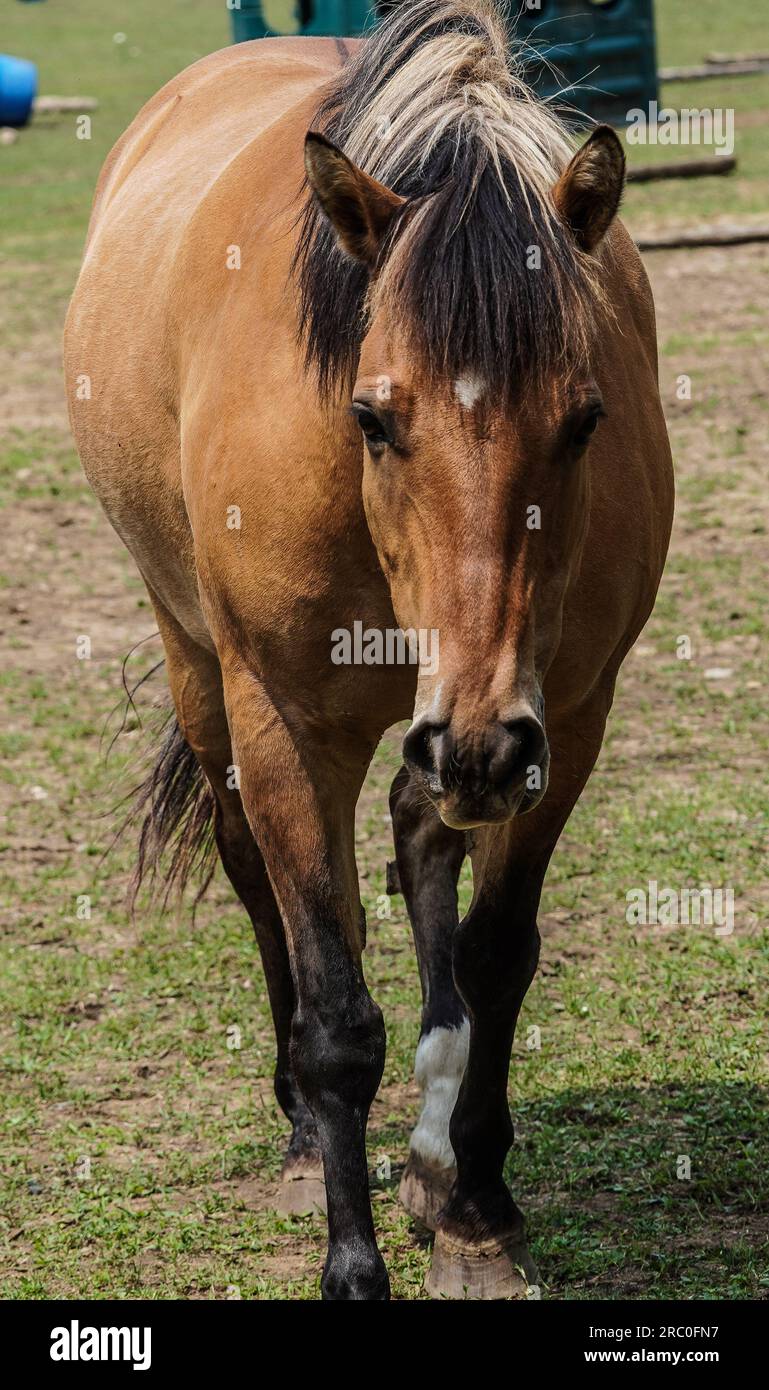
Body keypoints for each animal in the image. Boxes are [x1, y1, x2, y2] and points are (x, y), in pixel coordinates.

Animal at [64, 0, 673, 1300]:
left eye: (585, 418)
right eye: (373, 417)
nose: (483, 743)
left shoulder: (563, 717)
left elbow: (496, 952)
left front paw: (478, 1196)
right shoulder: (291, 724)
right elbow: (337, 1006)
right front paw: (351, 1258)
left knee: (419, 827)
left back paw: (436, 1150)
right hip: (200, 665)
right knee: (260, 880)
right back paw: (306, 1132)